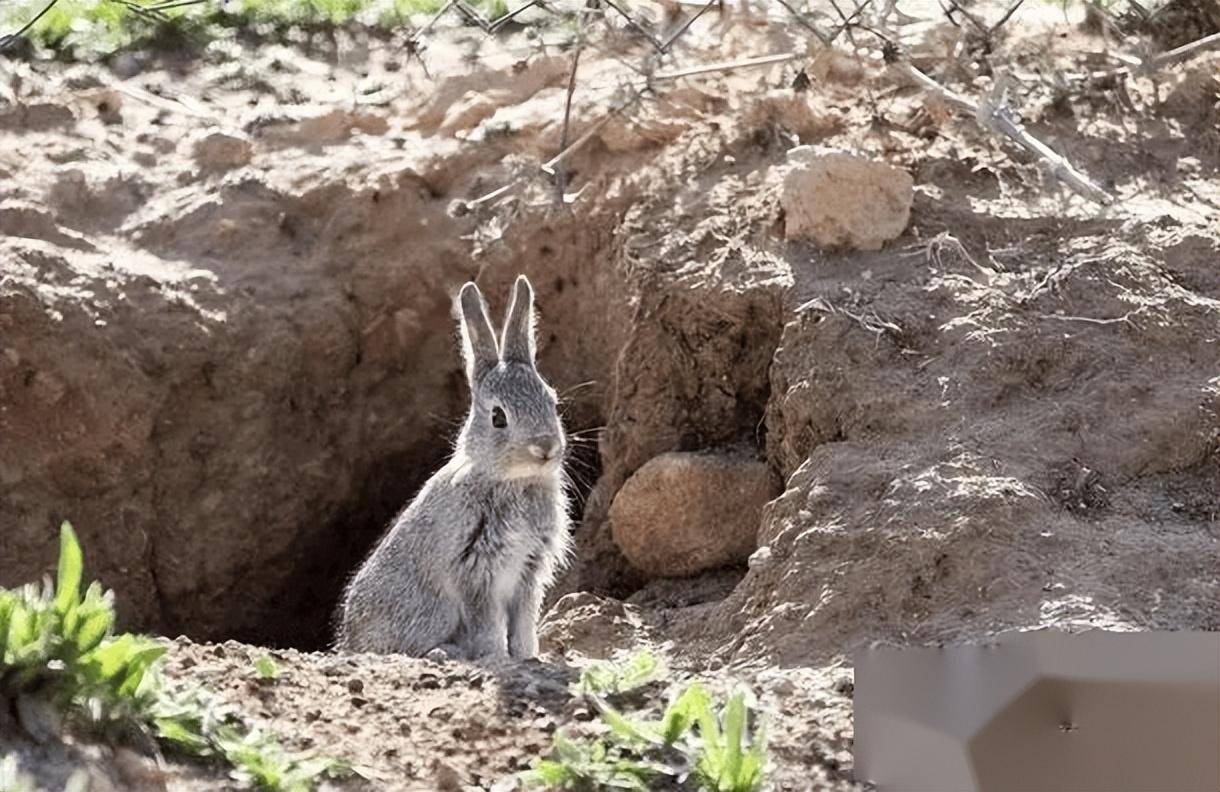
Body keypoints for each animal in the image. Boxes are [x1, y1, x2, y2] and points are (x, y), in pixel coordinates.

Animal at [334, 274, 570, 658]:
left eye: (552, 400)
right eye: (499, 417)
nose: (545, 447)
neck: (512, 481)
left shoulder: (528, 571)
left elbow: (522, 622)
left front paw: (528, 655)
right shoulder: (475, 570)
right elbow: (487, 623)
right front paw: (497, 657)